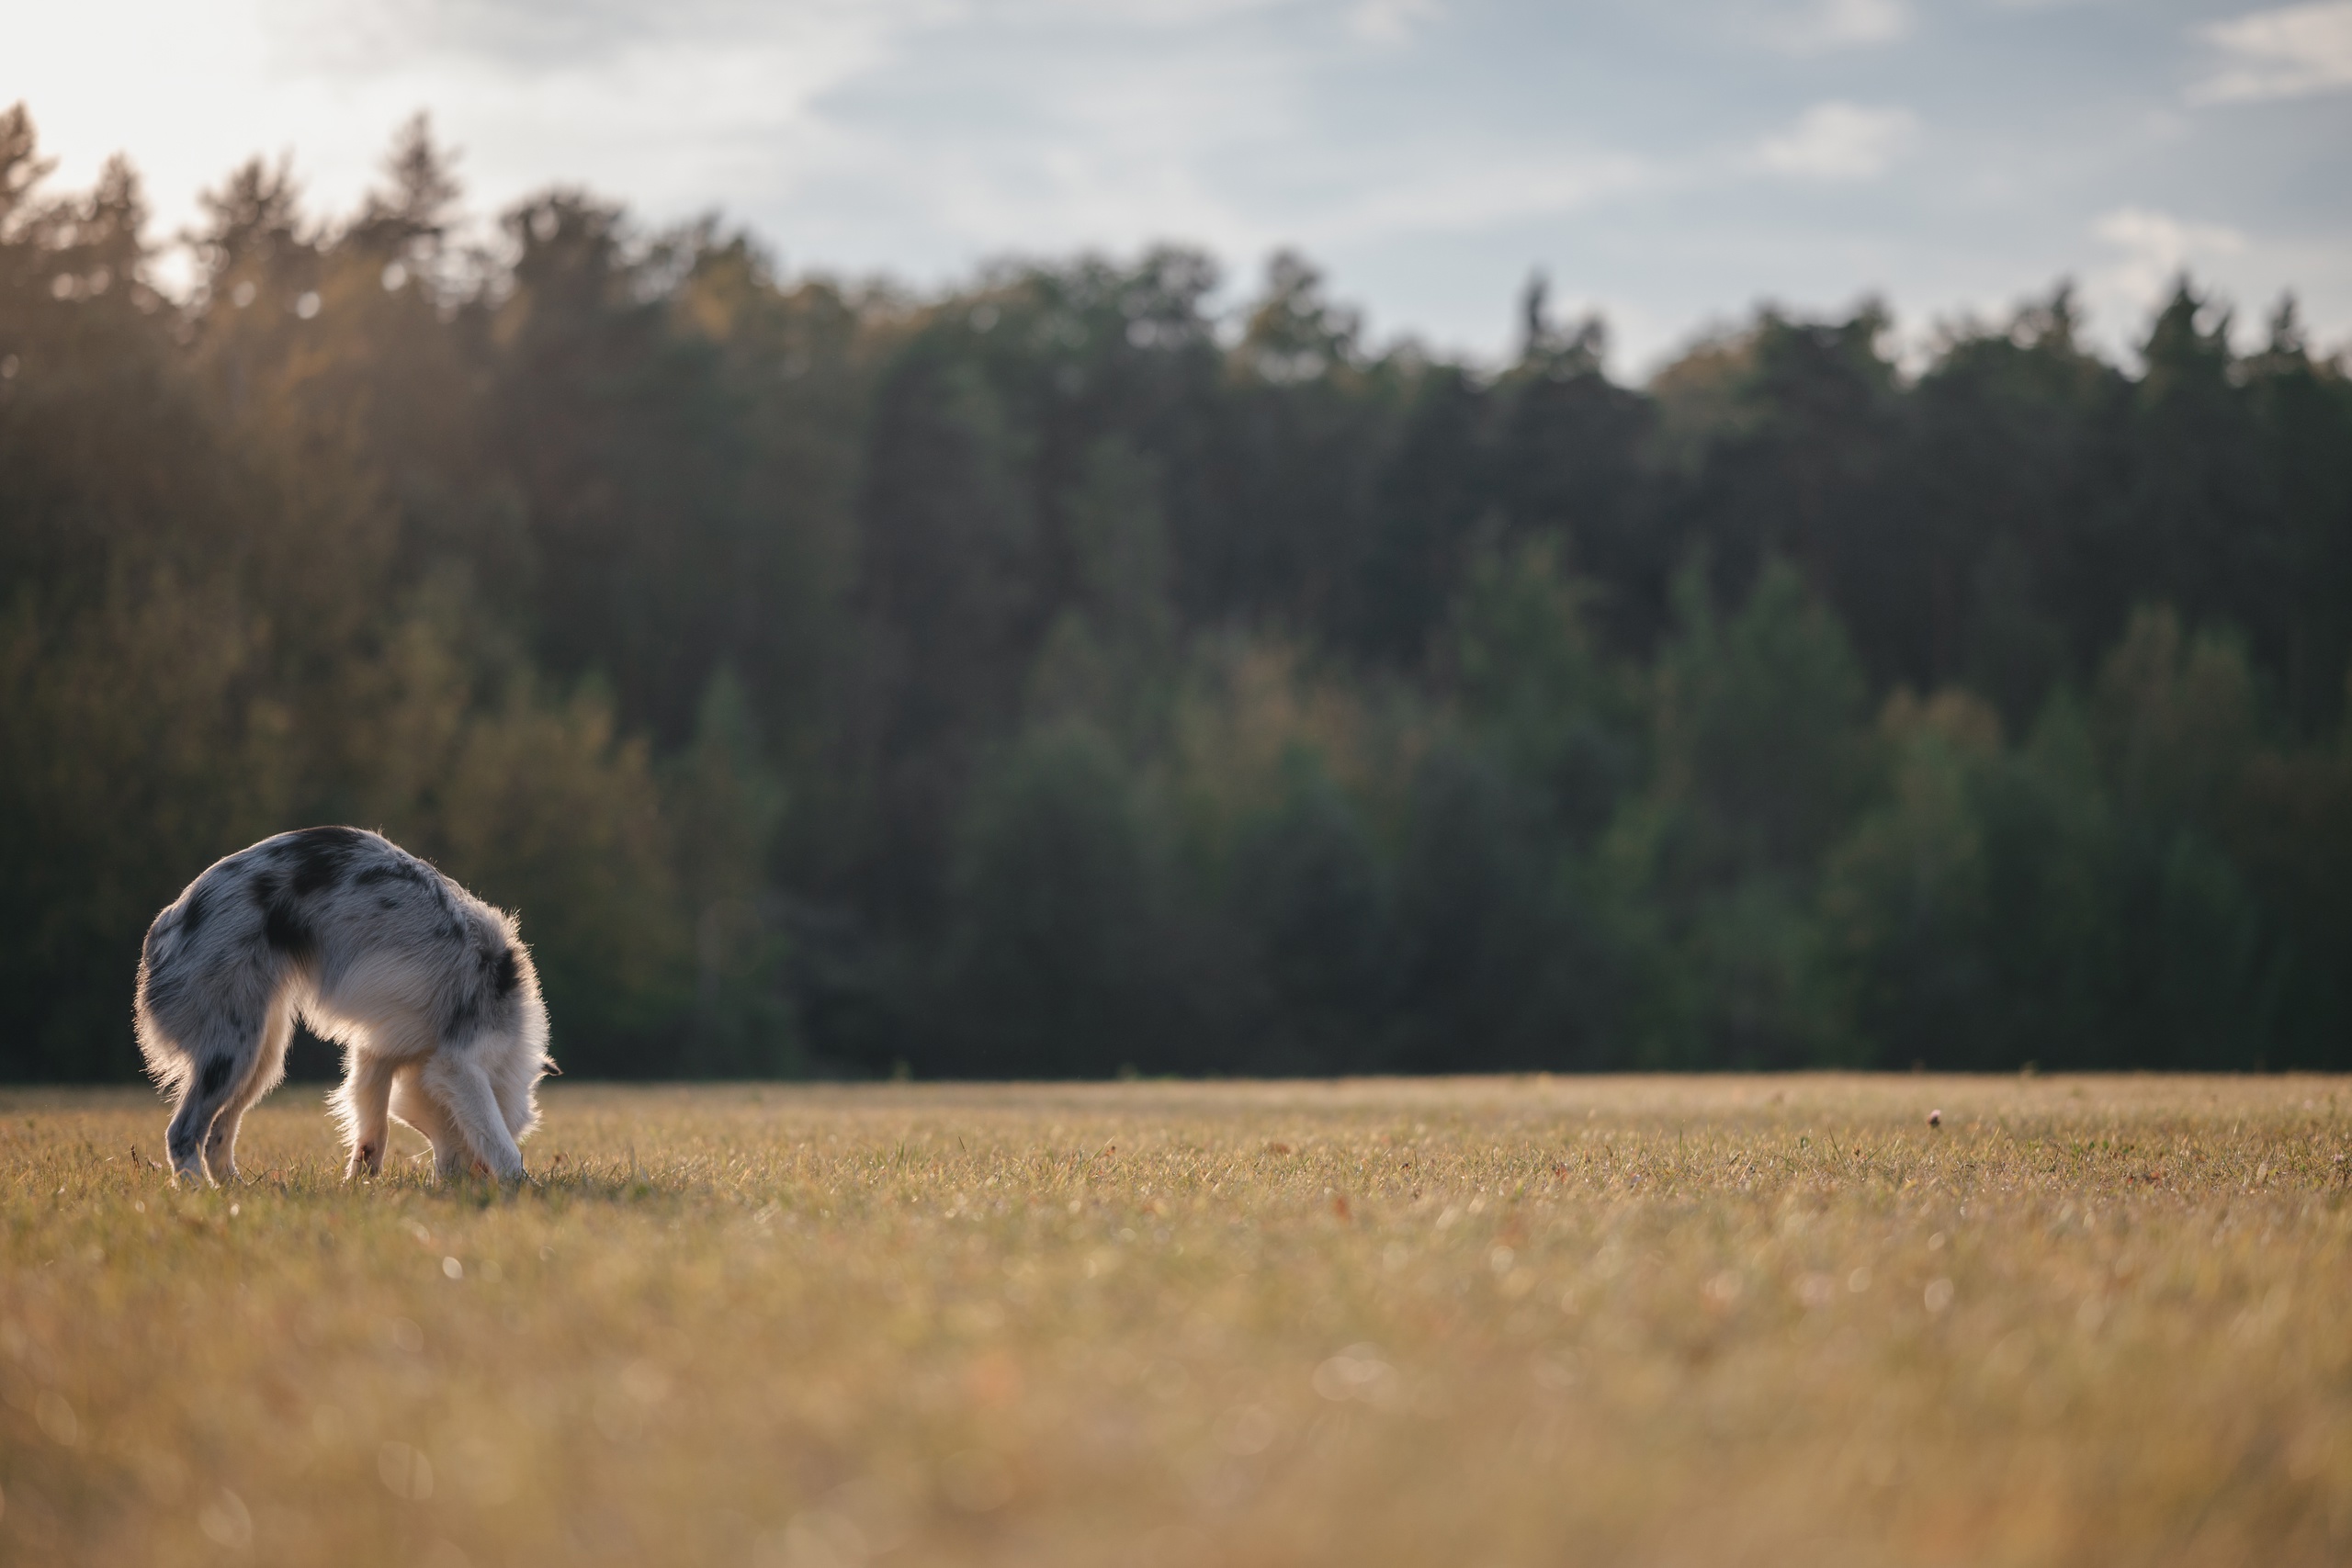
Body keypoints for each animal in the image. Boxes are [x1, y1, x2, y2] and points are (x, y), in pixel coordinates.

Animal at [137, 827, 555, 1184]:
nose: (459, 1184)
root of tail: (168, 919)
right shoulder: (460, 1063)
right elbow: (496, 1137)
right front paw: (524, 1186)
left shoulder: (381, 1049)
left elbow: (373, 1125)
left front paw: (358, 1184)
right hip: (232, 1049)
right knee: (183, 1132)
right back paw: (199, 1193)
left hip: (263, 1051)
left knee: (216, 1135)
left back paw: (239, 1191)